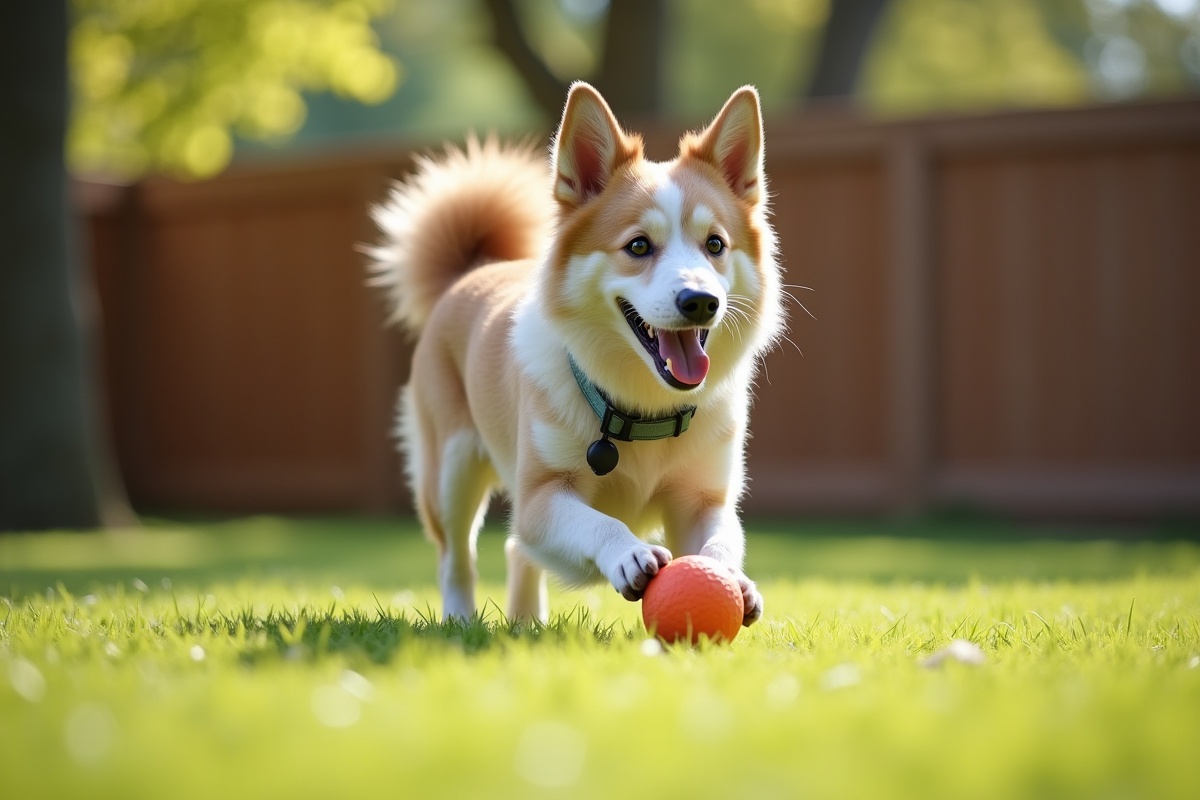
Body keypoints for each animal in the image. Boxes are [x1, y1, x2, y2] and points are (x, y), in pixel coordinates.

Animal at [374, 84, 787, 628]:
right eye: (639, 246)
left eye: (715, 244)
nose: (701, 301)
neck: (643, 410)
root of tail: (474, 270)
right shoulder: (539, 499)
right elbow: (599, 524)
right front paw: (628, 552)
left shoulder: (704, 498)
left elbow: (721, 540)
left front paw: (732, 580)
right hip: (450, 472)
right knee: (457, 558)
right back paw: (462, 624)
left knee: (514, 551)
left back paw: (526, 625)